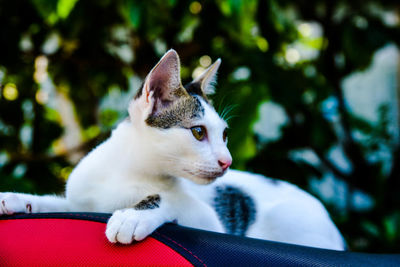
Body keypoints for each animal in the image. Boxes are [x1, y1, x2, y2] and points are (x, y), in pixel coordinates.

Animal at [0, 49, 344, 251]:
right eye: (198, 131)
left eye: (225, 135)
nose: (227, 161)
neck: (126, 172)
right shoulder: (82, 201)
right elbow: (58, 204)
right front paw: (16, 199)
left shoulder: (209, 222)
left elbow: (170, 200)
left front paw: (133, 215)